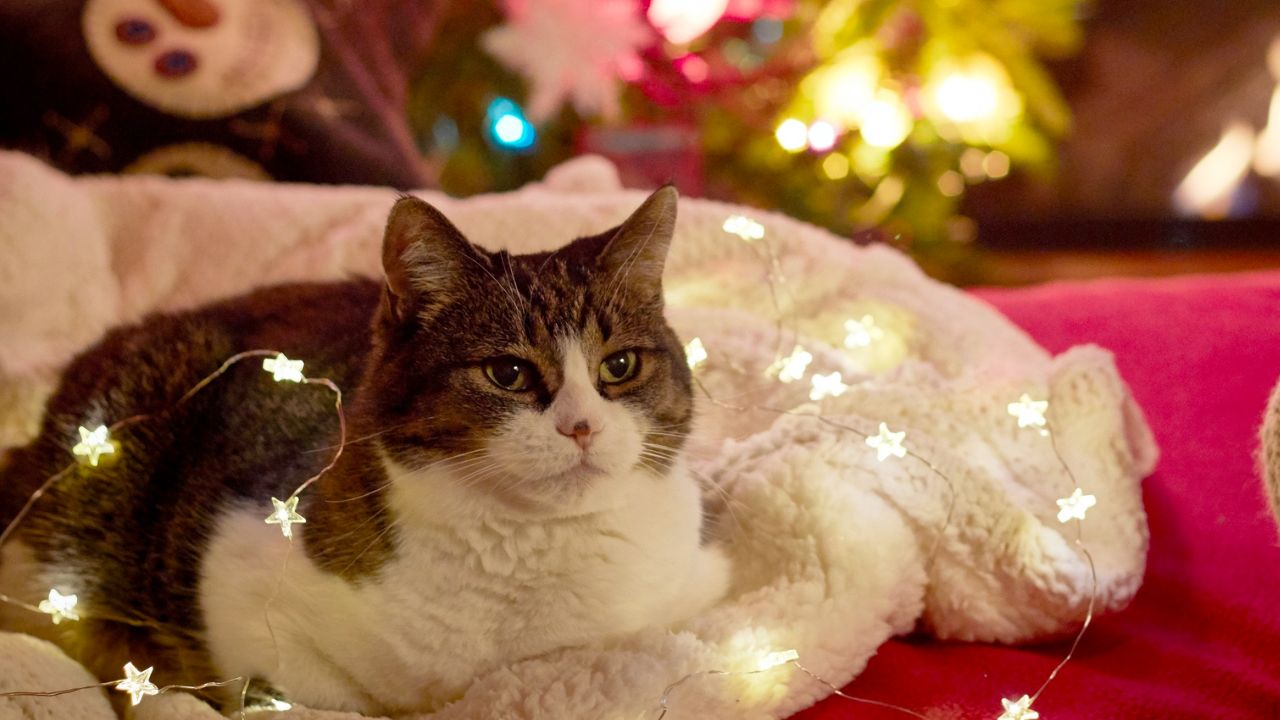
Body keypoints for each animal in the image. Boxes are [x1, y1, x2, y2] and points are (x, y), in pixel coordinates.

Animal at [0, 184, 732, 712]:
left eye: (620, 366)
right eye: (508, 373)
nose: (581, 427)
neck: (531, 549)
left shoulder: (698, 583)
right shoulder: (241, 585)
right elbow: (317, 692)